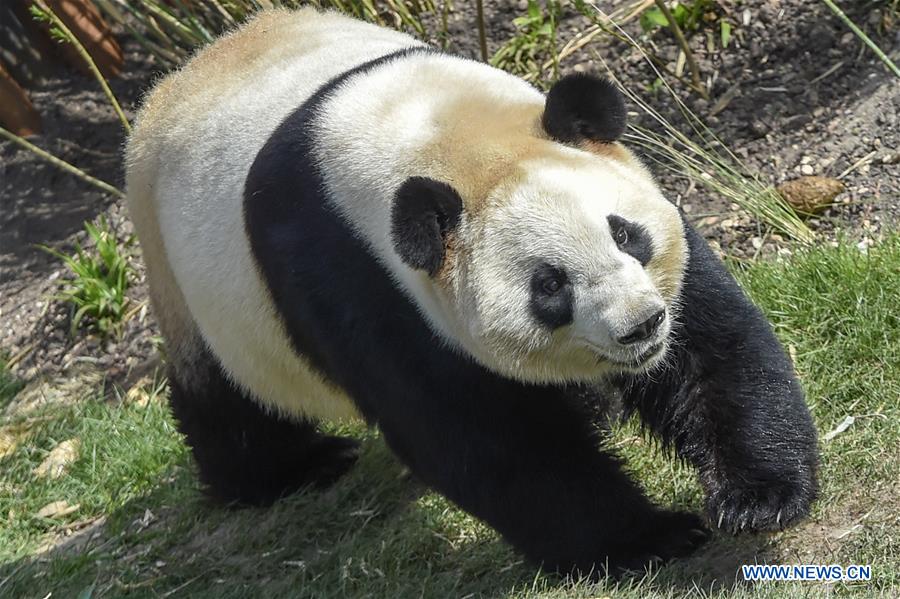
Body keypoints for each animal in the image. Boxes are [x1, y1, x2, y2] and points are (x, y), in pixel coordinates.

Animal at [125, 8, 818, 576]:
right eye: (549, 286)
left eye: (626, 234)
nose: (640, 328)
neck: (435, 130)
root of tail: (167, 87)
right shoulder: (359, 279)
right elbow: (486, 441)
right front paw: (649, 539)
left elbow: (711, 344)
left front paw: (758, 497)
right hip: (194, 282)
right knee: (230, 395)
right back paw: (286, 471)